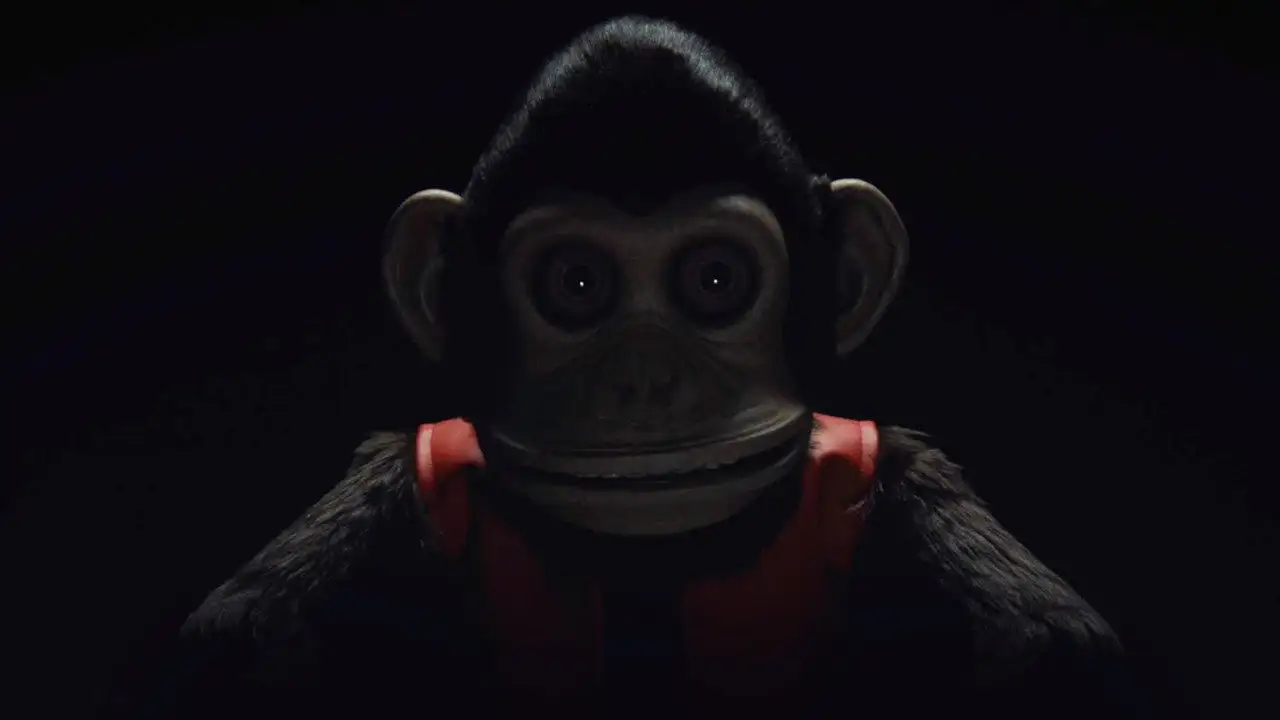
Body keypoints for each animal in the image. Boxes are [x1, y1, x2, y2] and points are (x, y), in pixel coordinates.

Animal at [160, 16, 1144, 719]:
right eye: (576, 282)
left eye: (715, 279)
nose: (643, 382)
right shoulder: (412, 471)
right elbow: (240, 638)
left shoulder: (889, 466)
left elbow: (1057, 654)